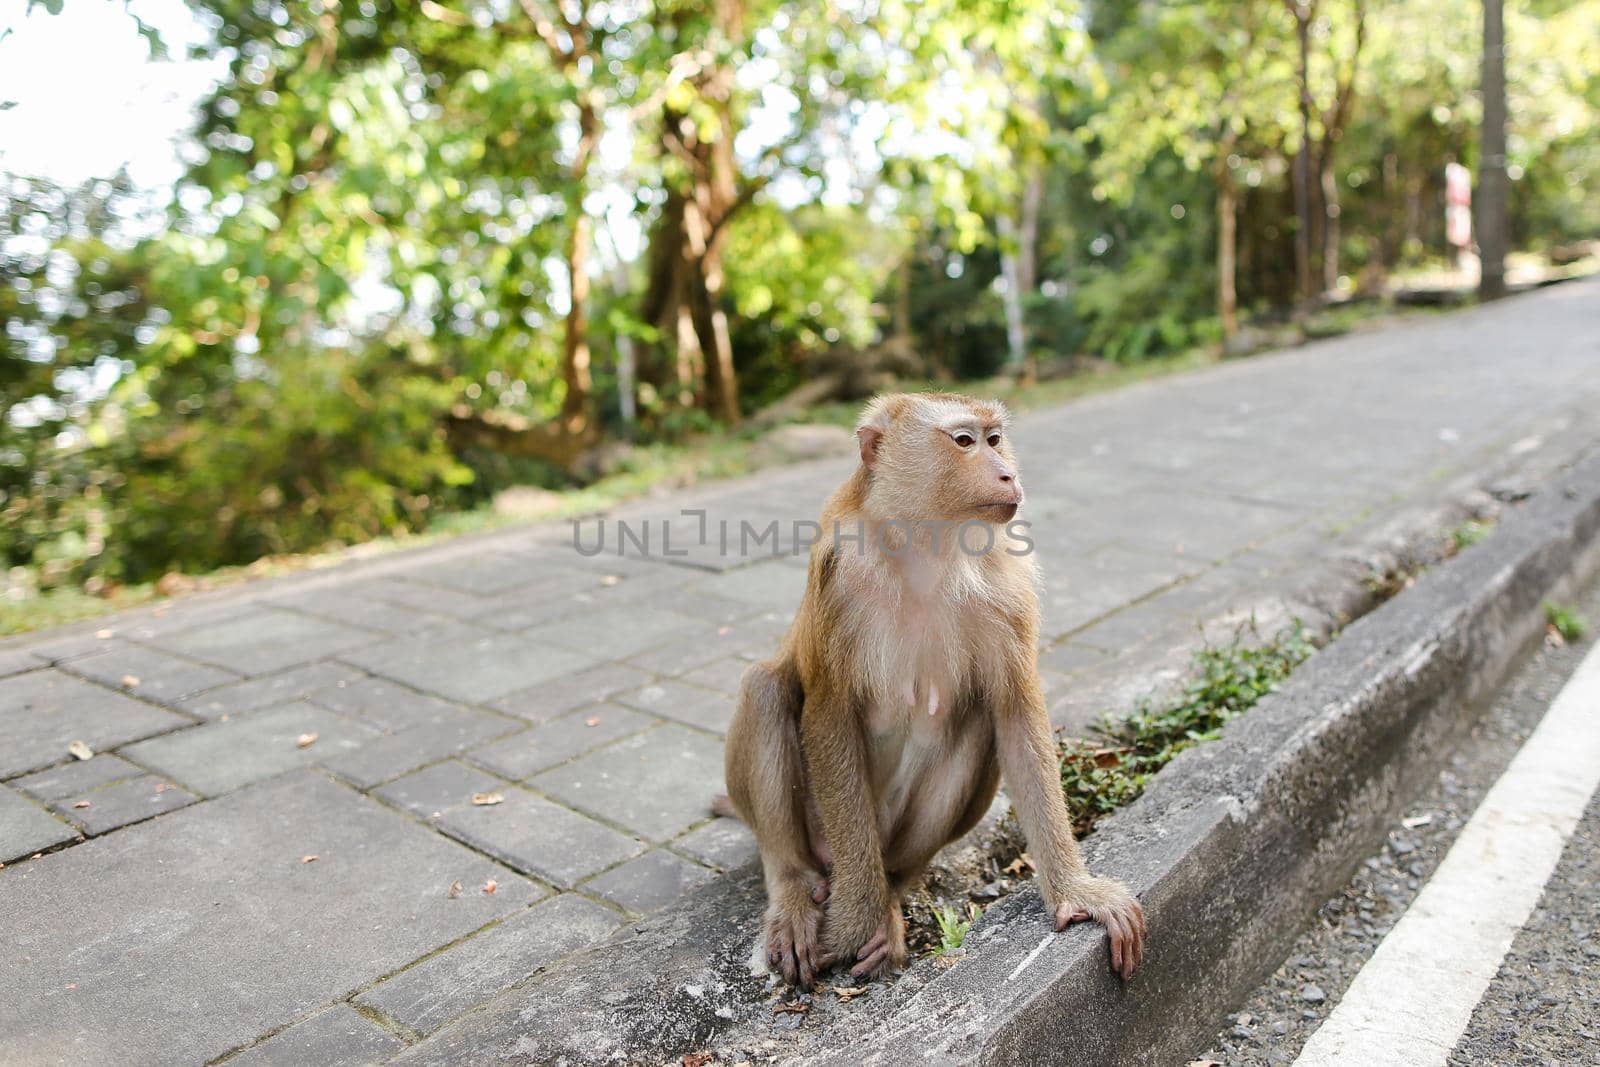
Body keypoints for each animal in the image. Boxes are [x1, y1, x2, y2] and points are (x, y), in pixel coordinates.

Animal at [720, 395, 1145, 991]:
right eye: (964, 441)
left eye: (995, 439)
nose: (1008, 472)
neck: (927, 544)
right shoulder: (838, 576)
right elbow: (830, 713)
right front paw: (856, 923)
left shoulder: (1008, 588)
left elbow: (1014, 713)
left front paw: (1076, 892)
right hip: (823, 833)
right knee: (763, 689)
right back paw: (797, 890)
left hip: (897, 836)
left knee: (979, 724)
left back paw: (895, 891)